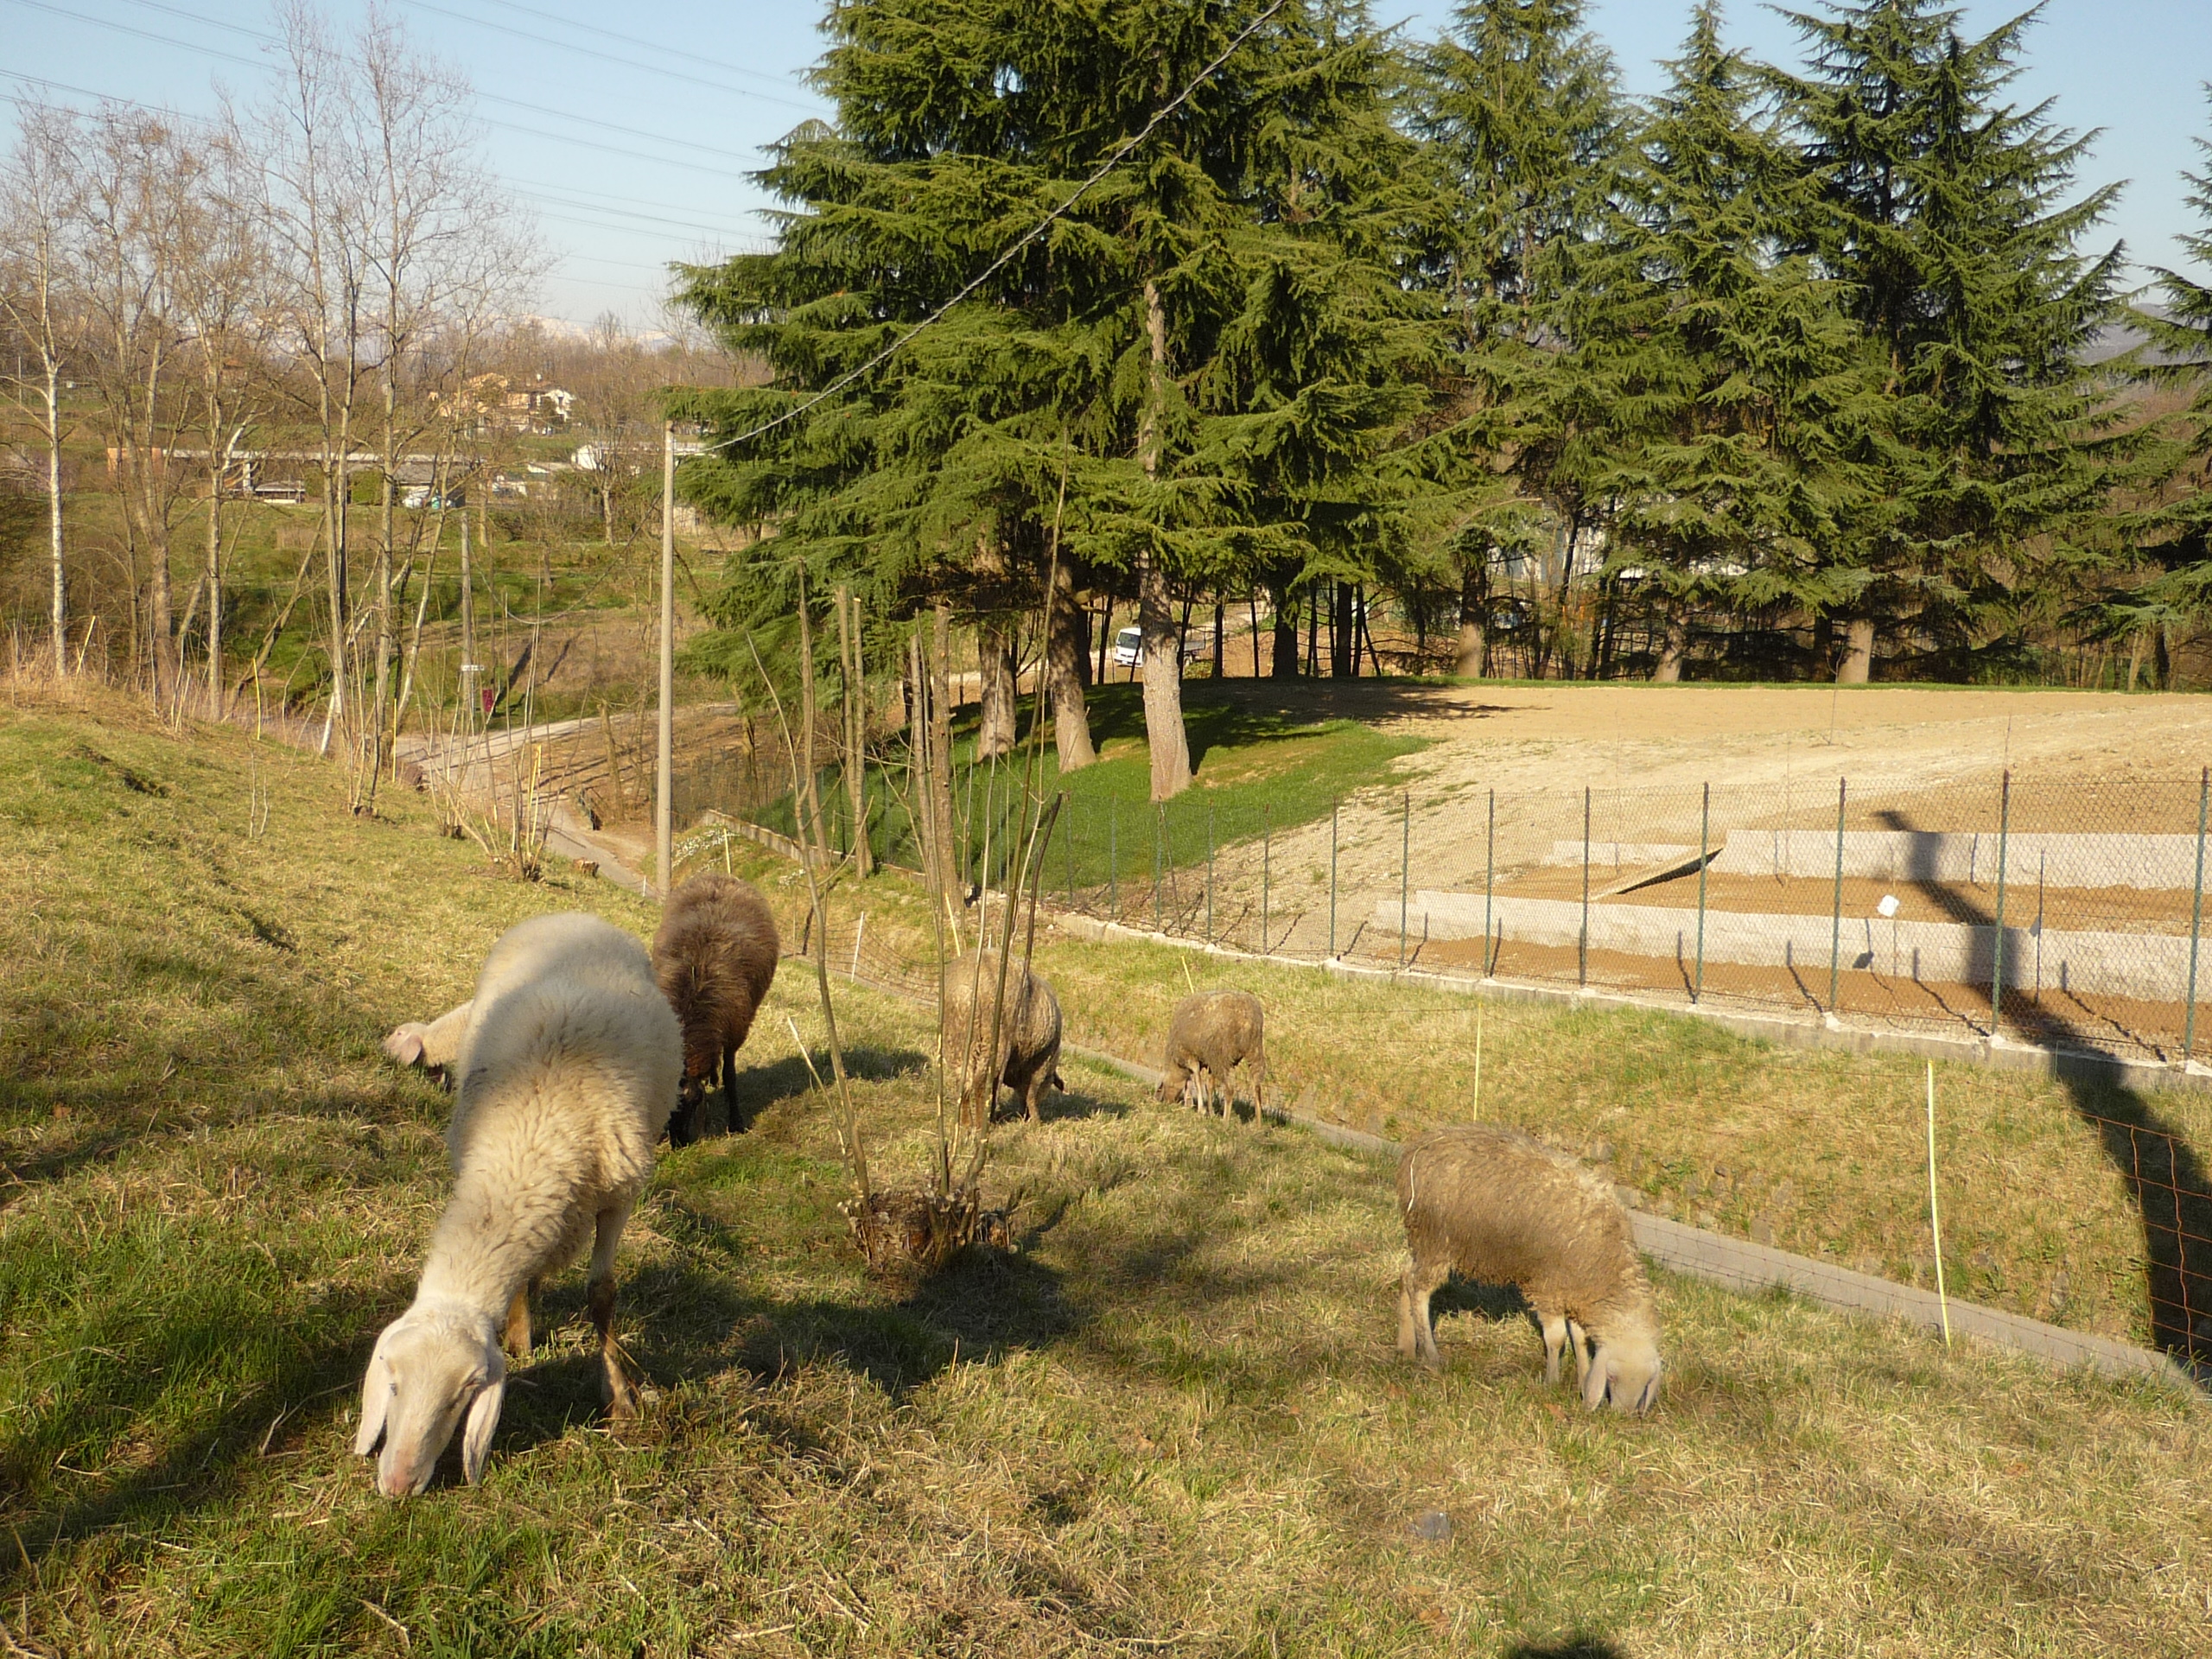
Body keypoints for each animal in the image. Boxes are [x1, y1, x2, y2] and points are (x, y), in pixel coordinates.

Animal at [356, 911, 682, 1497]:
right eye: (391, 1385)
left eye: (461, 1397)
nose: (396, 1484)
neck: (529, 1139)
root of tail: (573, 916)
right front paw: (522, 1338)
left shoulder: (620, 1194)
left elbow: (602, 1296)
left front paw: (619, 1399)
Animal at [649, 873, 780, 1144]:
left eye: (697, 1101)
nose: (680, 1143)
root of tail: (723, 877)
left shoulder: (735, 1032)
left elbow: (730, 1075)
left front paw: (737, 1122)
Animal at [939, 952, 1063, 1124]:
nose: (1025, 1116)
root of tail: (963, 995)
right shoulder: (1042, 1061)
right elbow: (1030, 1092)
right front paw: (1036, 1121)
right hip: (992, 1043)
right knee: (981, 1083)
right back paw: (980, 1124)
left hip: (957, 1045)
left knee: (964, 1082)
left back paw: (965, 1123)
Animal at [1155, 990, 1267, 1116]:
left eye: (1160, 1089)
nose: (1166, 1102)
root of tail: (1246, 1019)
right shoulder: (1209, 1062)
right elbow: (1208, 1086)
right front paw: (1209, 1111)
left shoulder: (1190, 1057)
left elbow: (1197, 1081)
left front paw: (1201, 1109)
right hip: (1254, 1051)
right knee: (1257, 1087)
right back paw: (1258, 1120)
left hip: (1222, 1057)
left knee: (1229, 1088)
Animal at [1396, 1123, 1663, 1414]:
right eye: (1612, 1376)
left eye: (1647, 1383)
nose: (1620, 1416)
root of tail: (1417, 1149)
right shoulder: (1548, 1286)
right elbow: (1557, 1338)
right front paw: (1552, 1381)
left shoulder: (1575, 1290)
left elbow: (1579, 1339)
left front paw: (1582, 1379)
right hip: (1437, 1240)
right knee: (1419, 1289)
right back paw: (1430, 1353)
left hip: (1423, 1241)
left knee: (1406, 1277)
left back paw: (1406, 1346)